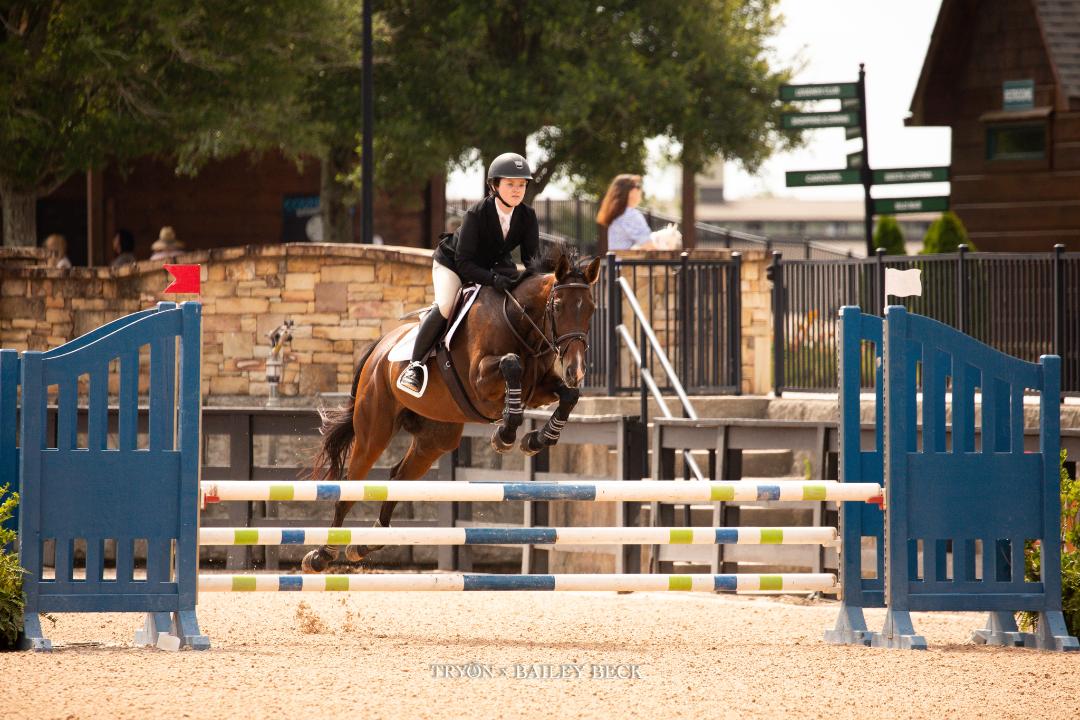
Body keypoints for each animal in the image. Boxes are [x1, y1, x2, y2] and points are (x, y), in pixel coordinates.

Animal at [302, 248, 600, 574]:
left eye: (591, 309)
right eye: (557, 307)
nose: (575, 370)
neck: (519, 321)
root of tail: (380, 347)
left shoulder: (539, 389)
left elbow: (569, 396)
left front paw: (537, 439)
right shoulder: (480, 383)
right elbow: (511, 364)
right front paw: (505, 435)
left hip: (435, 439)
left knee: (398, 477)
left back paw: (366, 544)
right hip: (374, 431)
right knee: (351, 485)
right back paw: (323, 554)